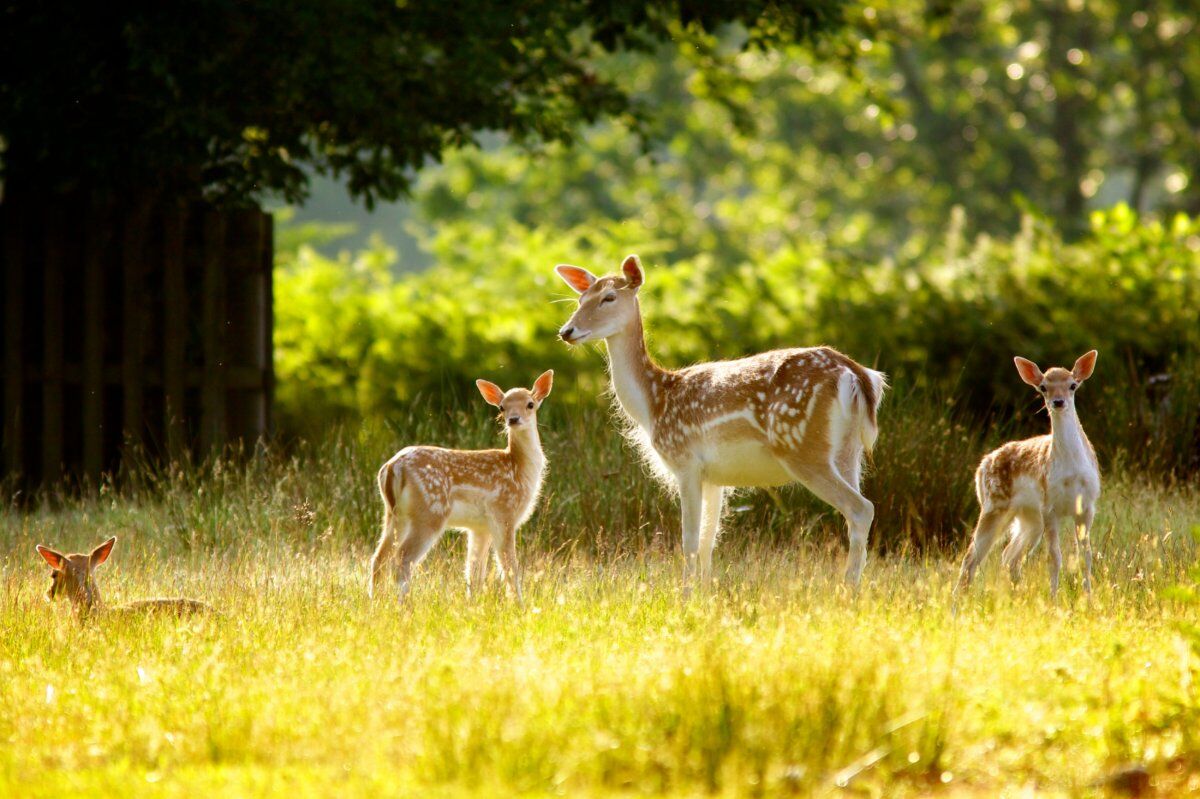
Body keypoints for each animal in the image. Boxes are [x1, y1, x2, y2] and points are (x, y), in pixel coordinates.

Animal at [367, 369, 554, 599]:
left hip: (394, 515)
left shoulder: (479, 527)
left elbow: (474, 572)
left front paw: (473, 603)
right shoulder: (504, 514)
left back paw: (375, 601)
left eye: (530, 404)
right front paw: (519, 604)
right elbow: (510, 569)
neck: (519, 468)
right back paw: (404, 604)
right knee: (403, 558)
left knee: (379, 558)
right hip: (430, 512)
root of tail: (393, 467)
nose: (513, 419)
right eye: (502, 407)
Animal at [556, 255, 888, 585]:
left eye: (609, 297)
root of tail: (856, 376)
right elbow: (708, 542)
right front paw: (705, 593)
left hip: (802, 446)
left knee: (861, 509)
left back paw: (847, 589)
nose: (566, 331)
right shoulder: (714, 477)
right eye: (581, 299)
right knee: (856, 513)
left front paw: (684, 594)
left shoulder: (685, 460)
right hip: (849, 451)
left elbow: (689, 541)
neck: (654, 403)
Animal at [955, 352, 1099, 595]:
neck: (1071, 471)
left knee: (1009, 556)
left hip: (1029, 518)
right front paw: (1053, 599)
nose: (1058, 402)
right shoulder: (1049, 506)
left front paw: (1089, 599)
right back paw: (957, 602)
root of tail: (981, 467)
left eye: (1073, 385)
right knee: (970, 558)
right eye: (1043, 387)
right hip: (995, 505)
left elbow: (1085, 557)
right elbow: (1054, 558)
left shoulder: (1087, 507)